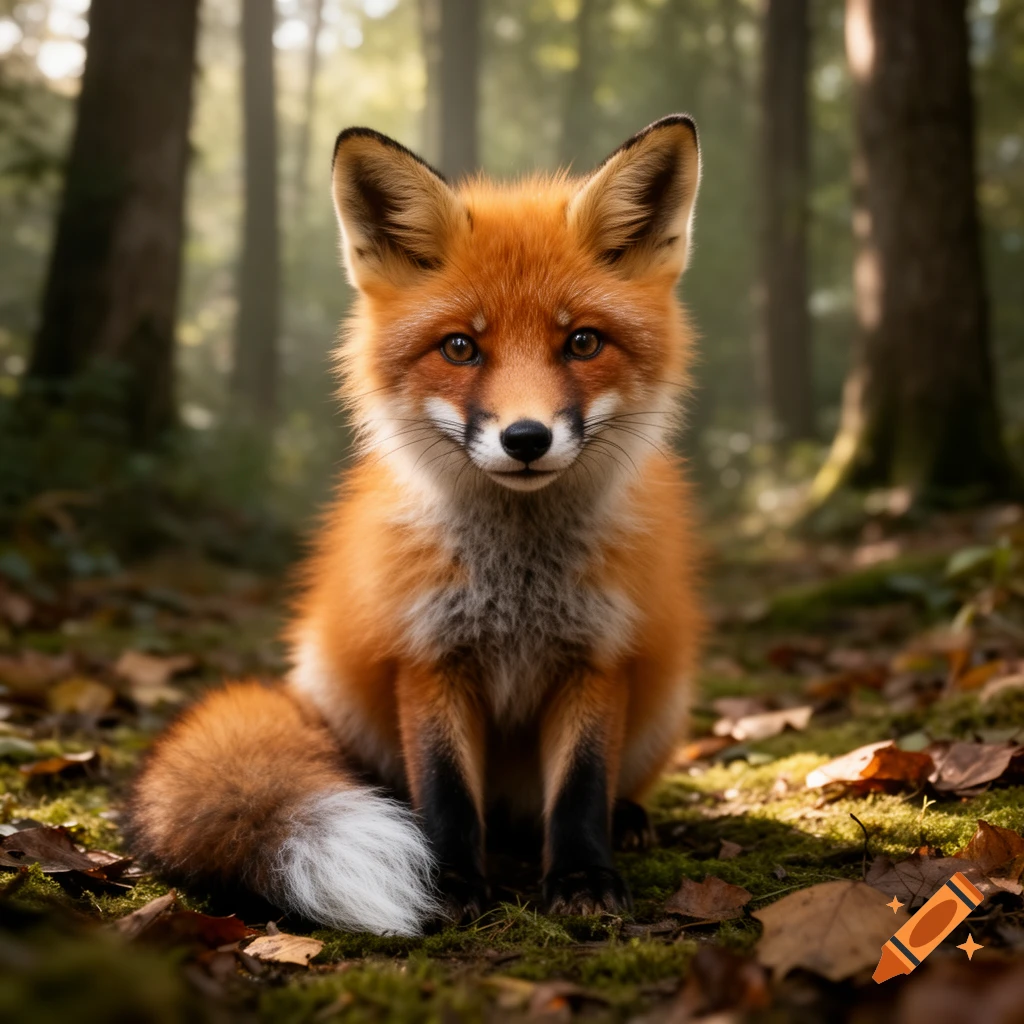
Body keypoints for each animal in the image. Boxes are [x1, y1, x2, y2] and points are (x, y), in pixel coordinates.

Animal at [125, 115, 704, 936]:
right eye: (461, 346)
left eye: (582, 342)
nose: (526, 438)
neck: (517, 586)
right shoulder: (428, 654)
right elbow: (446, 792)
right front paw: (451, 882)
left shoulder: (597, 654)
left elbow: (582, 789)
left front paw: (583, 878)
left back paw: (627, 818)